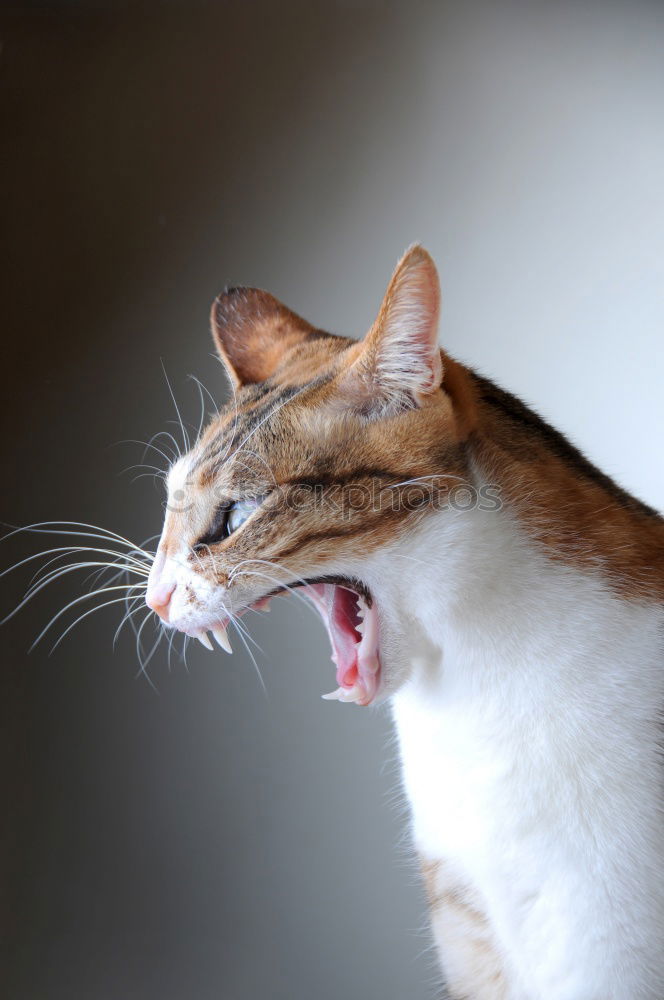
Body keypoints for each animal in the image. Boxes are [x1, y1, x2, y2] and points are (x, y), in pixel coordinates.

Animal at [145, 244, 664, 1000]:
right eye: (169, 506)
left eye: (236, 515)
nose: (154, 598)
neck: (469, 705)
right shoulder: (470, 925)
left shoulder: (603, 943)